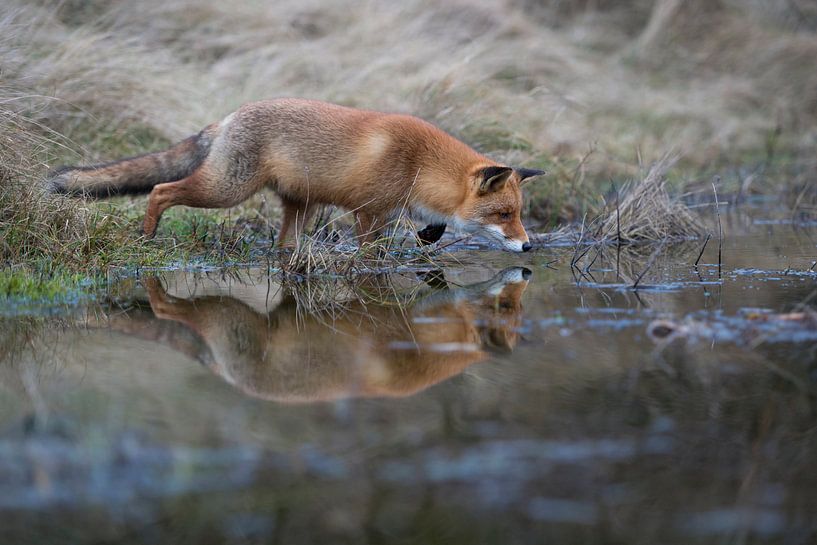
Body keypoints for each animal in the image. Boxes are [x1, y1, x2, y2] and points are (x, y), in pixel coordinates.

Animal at [44, 98, 540, 251]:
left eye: (517, 214)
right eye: (503, 215)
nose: (529, 246)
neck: (418, 164)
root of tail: (227, 118)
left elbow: (432, 227)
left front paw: (429, 237)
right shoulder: (368, 212)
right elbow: (371, 255)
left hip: (301, 206)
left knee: (283, 245)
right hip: (225, 190)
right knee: (162, 189)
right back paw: (148, 234)